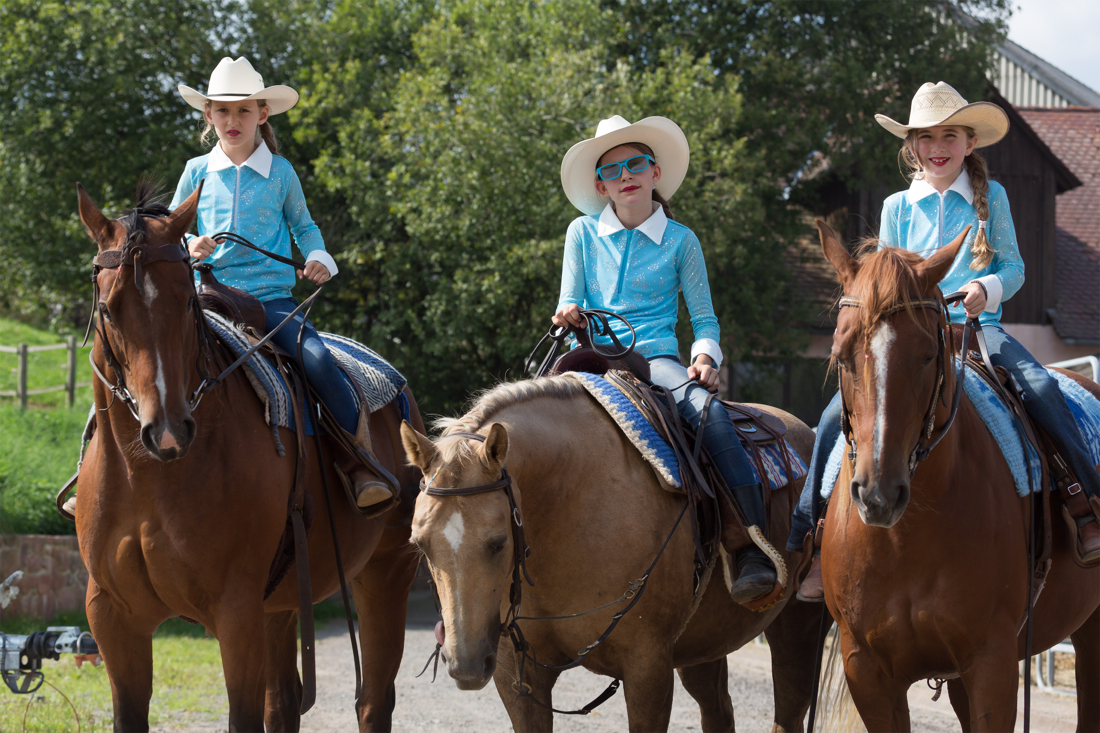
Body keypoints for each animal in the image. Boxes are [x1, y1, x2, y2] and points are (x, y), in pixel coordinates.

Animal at [73, 182, 425, 732]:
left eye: (185, 303)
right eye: (109, 309)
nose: (167, 430)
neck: (150, 480)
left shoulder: (236, 614)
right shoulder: (113, 618)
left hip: (385, 573)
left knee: (372, 701)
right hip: (282, 603)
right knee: (285, 701)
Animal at [400, 376, 826, 732]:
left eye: (499, 542)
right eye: (421, 544)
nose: (467, 665)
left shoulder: (648, 669)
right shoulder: (516, 675)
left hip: (797, 625)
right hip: (703, 646)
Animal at [813, 219, 1100, 732]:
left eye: (928, 354)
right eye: (841, 352)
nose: (878, 495)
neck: (906, 541)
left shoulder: (993, 664)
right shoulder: (867, 670)